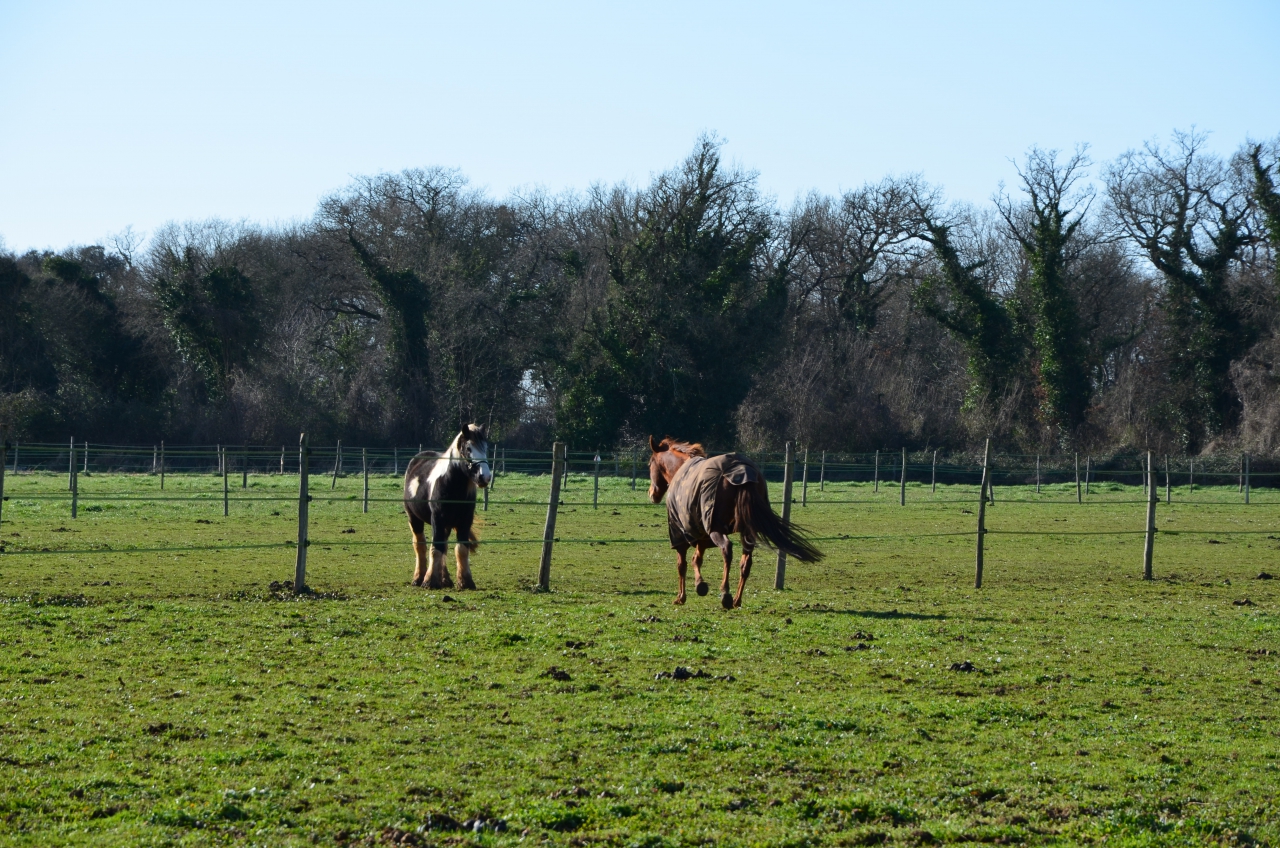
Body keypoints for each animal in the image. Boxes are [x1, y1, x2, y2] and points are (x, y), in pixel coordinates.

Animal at [403, 424, 493, 589]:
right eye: (468, 448)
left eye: (485, 448)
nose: (485, 477)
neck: (452, 486)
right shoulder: (437, 520)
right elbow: (435, 548)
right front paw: (429, 581)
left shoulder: (465, 521)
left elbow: (461, 549)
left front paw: (465, 581)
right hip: (414, 519)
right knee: (420, 545)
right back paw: (418, 577)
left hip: (446, 525)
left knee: (444, 546)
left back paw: (444, 579)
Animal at [648, 436, 823, 609]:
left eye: (650, 464)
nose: (651, 494)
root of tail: (742, 472)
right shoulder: (702, 534)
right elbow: (696, 559)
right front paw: (700, 585)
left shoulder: (681, 533)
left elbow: (682, 565)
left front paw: (681, 597)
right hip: (746, 532)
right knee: (745, 563)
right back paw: (737, 600)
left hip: (716, 529)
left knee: (727, 550)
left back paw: (725, 595)